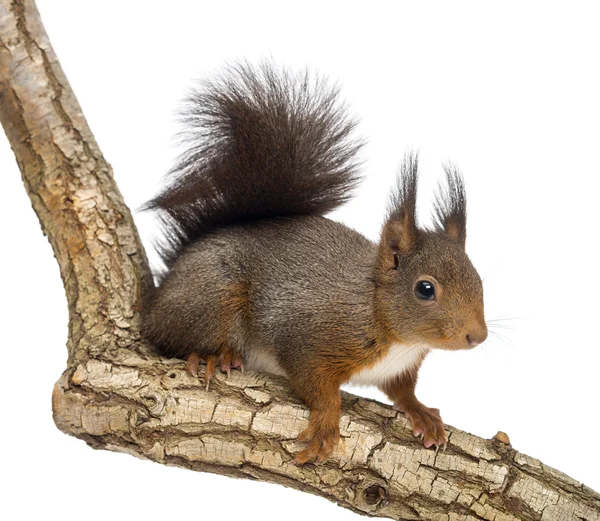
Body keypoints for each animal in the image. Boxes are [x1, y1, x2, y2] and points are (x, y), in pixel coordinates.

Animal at [142, 61, 488, 464]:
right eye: (425, 289)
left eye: (479, 278)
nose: (478, 336)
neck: (394, 331)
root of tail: (168, 283)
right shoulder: (307, 338)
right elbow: (316, 384)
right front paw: (326, 425)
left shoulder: (397, 370)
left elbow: (402, 391)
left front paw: (421, 412)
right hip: (212, 296)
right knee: (170, 336)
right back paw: (213, 355)